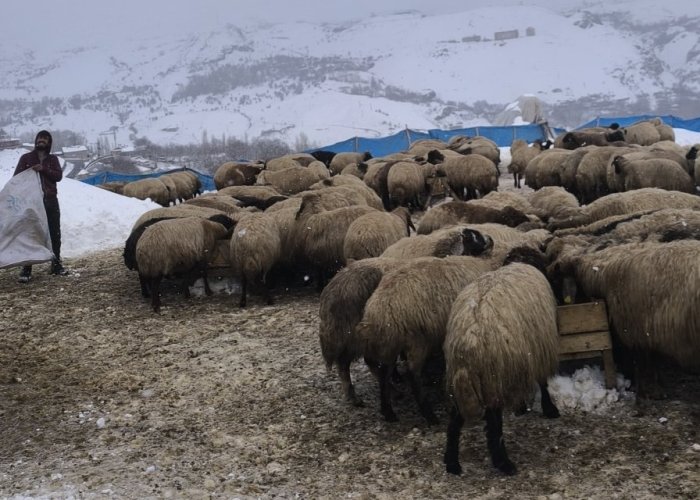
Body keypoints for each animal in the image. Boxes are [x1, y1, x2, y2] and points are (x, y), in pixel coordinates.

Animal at [356, 256, 498, 424]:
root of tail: (381, 312)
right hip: (417, 341)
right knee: (412, 374)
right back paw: (429, 414)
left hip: (389, 346)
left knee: (385, 373)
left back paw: (388, 412)